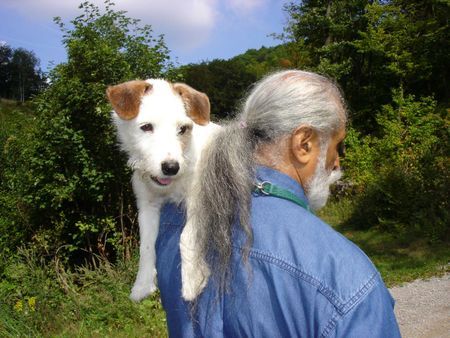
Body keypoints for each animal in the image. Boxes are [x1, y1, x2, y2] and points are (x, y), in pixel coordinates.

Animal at [106, 79, 218, 302]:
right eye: (146, 127)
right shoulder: (147, 206)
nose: (171, 167)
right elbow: (146, 245)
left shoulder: (199, 199)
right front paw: (142, 284)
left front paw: (192, 278)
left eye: (183, 129)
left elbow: (186, 236)